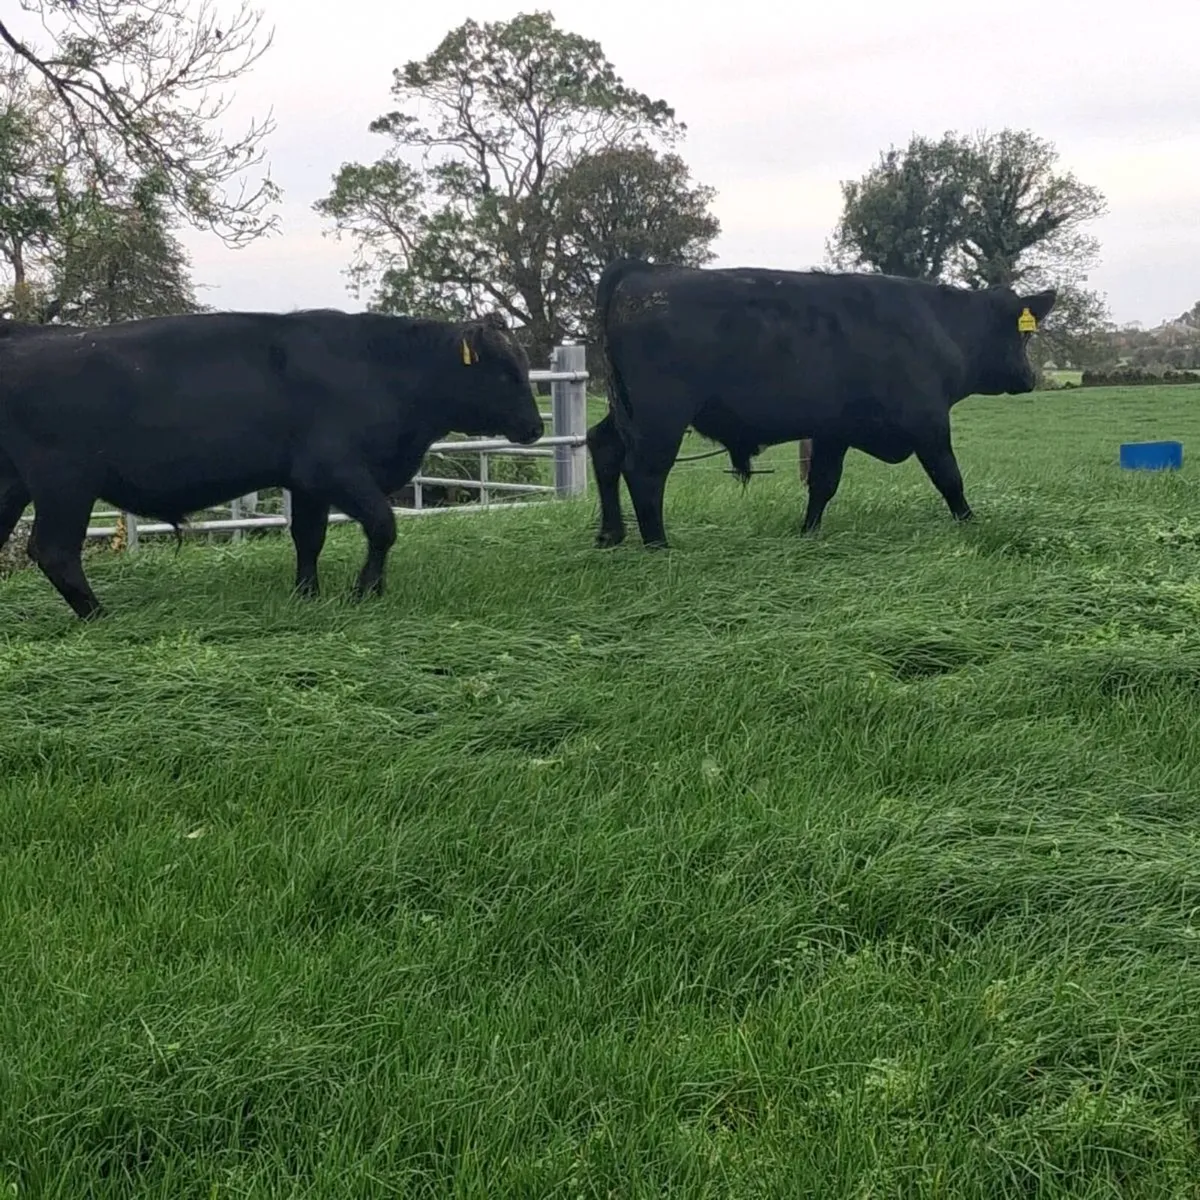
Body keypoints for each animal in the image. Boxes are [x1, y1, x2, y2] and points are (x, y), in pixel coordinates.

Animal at [0, 308, 544, 619]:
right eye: (504, 372)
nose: (536, 427)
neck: (380, 367)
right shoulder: (336, 469)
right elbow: (383, 526)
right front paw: (366, 592)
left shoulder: (307, 483)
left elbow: (309, 537)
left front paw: (307, 594)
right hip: (65, 484)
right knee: (54, 551)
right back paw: (99, 616)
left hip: (17, 485)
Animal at [585, 258, 1056, 549]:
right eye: (1023, 334)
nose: (1030, 377)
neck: (939, 324)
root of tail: (643, 270)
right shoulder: (929, 424)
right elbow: (950, 478)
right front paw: (971, 523)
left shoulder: (834, 430)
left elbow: (823, 484)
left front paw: (807, 533)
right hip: (660, 417)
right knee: (644, 472)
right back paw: (657, 544)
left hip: (625, 411)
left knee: (602, 446)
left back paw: (611, 534)